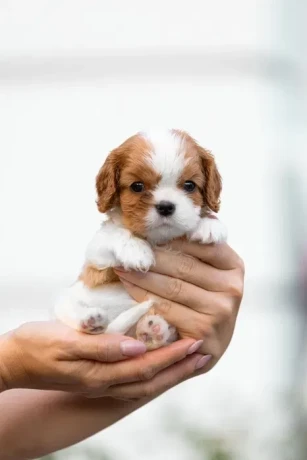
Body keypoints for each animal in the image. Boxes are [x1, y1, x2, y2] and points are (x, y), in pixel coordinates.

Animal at [54, 128, 227, 348]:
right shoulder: (96, 253)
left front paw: (209, 224)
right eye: (137, 186)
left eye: (190, 185)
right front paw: (136, 250)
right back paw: (92, 320)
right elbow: (116, 233)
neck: (157, 239)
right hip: (64, 300)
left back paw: (153, 329)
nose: (165, 206)